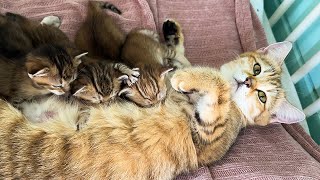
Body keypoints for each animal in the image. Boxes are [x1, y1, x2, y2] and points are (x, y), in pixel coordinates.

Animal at [0, 41, 304, 179]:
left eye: (263, 97)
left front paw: (185, 77)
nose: (249, 82)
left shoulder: (208, 137)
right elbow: (181, 60)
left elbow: (216, 88)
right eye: (257, 68)